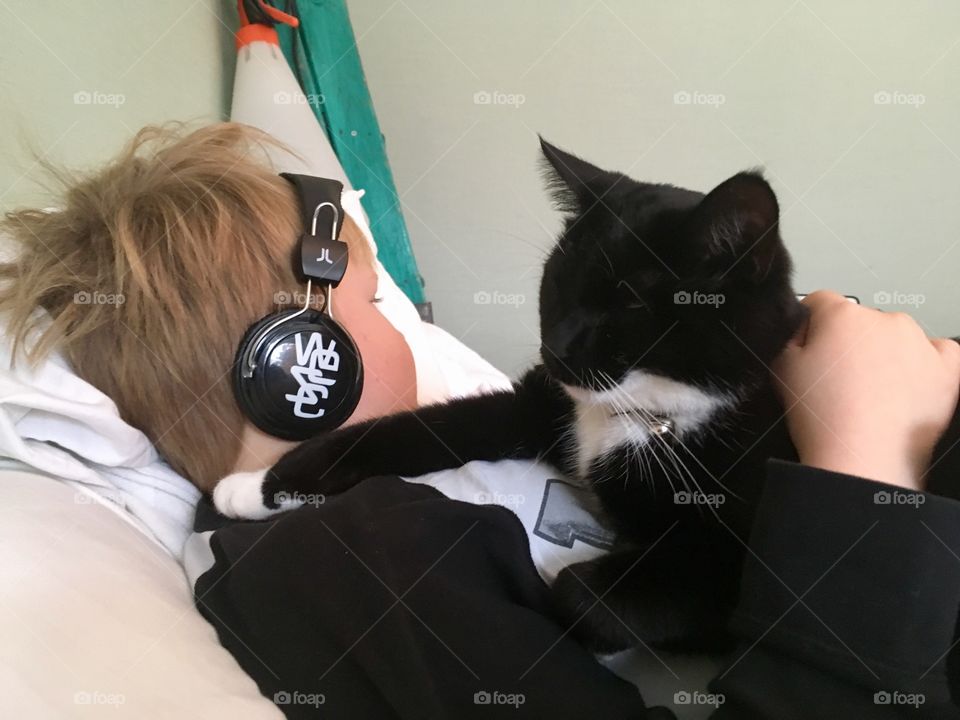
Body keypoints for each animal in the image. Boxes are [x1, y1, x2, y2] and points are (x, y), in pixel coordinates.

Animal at [216, 139, 960, 652]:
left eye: (628, 304)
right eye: (556, 283)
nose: (558, 347)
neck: (633, 412)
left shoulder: (734, 560)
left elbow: (580, 594)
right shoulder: (541, 404)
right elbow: (418, 428)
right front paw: (260, 486)